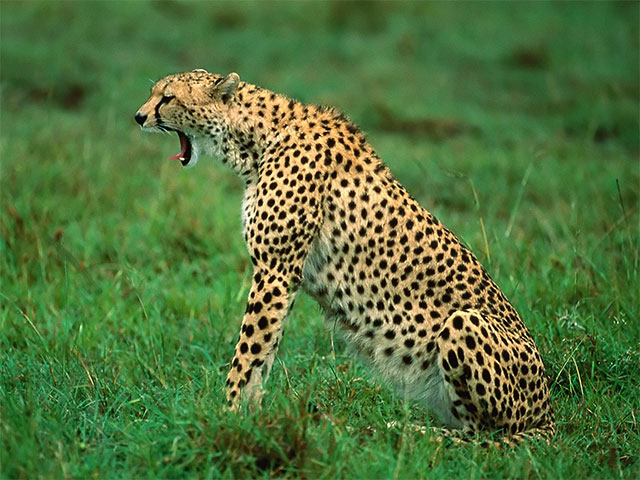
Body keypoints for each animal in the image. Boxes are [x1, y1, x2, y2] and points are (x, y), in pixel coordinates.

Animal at [135, 69, 555, 443]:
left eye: (167, 97)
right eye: (155, 93)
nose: (139, 116)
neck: (257, 137)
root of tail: (549, 411)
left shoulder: (275, 270)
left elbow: (249, 352)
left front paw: (228, 414)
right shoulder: (280, 275)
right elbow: (264, 353)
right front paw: (250, 416)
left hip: (464, 321)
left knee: (484, 434)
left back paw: (410, 433)